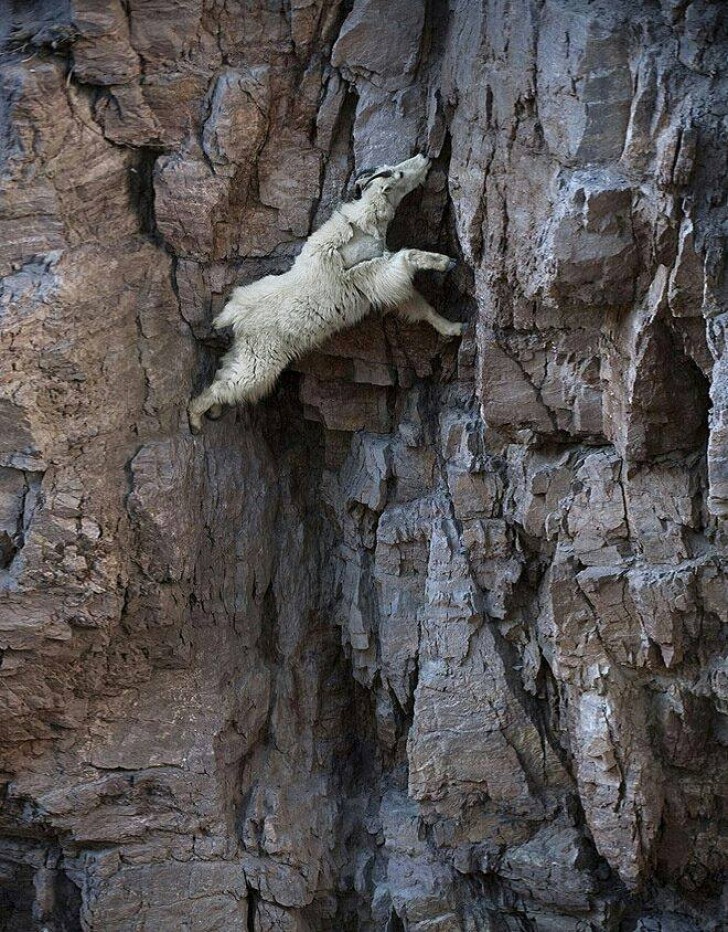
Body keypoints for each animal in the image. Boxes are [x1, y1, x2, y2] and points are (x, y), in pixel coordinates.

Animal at [188, 154, 464, 432]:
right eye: (398, 175)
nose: (424, 157)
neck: (364, 227)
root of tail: (236, 317)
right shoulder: (375, 274)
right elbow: (408, 258)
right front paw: (445, 262)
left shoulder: (384, 283)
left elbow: (418, 305)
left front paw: (454, 328)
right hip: (261, 360)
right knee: (231, 385)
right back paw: (195, 418)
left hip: (245, 351)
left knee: (224, 373)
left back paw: (213, 411)